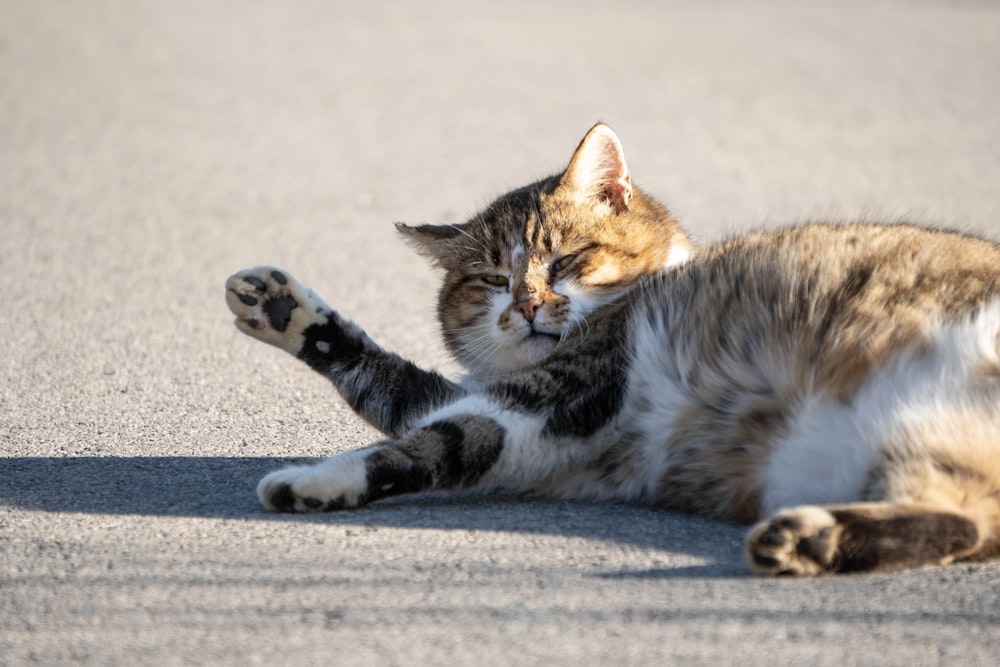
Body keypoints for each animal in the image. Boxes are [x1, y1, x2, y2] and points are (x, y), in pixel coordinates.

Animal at [225, 124, 1000, 576]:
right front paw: (284, 309)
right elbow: (401, 396)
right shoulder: (536, 427)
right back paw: (812, 539)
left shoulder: (562, 393)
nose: (527, 305)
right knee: (962, 522)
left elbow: (423, 439)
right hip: (922, 448)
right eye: (492, 280)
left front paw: (308, 479)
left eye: (567, 260)